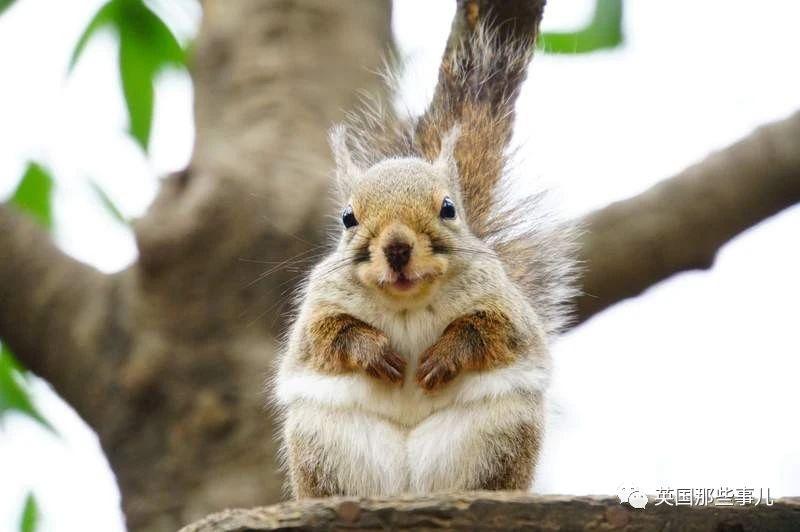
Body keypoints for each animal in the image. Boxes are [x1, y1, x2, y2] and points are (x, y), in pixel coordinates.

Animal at [274, 15, 576, 498]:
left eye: (449, 208)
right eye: (347, 217)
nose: (397, 247)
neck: (408, 303)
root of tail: (409, 487)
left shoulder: (505, 305)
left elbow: (493, 331)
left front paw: (445, 355)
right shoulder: (318, 308)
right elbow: (327, 337)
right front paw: (374, 352)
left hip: (501, 431)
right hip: (322, 439)